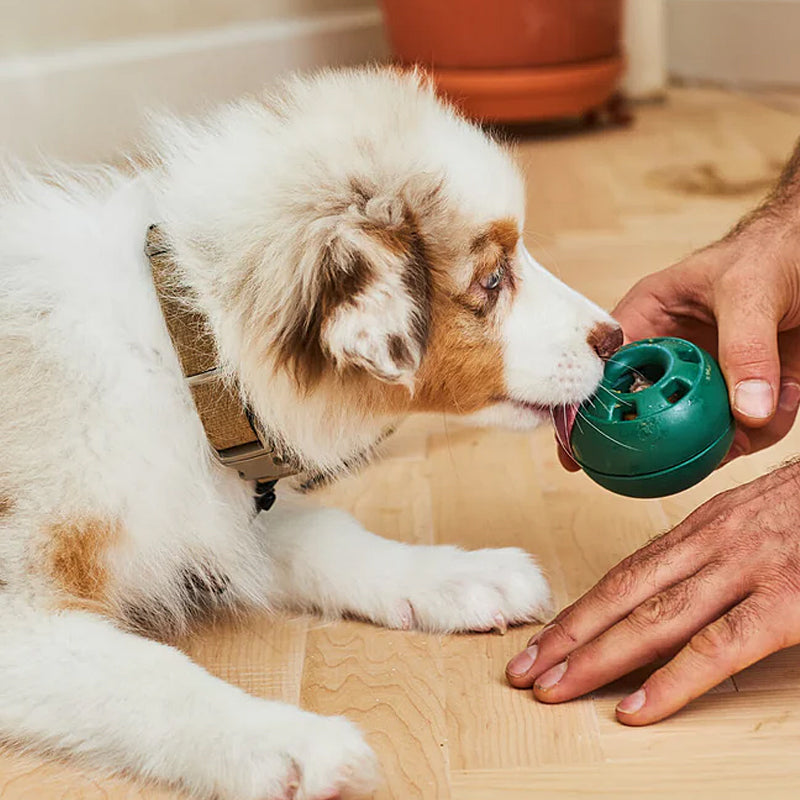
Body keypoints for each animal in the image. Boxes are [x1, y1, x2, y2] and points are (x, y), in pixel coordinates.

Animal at [0, 69, 620, 800]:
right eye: (493, 279)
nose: (615, 336)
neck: (184, 354)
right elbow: (145, 674)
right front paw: (286, 743)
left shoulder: (218, 505)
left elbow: (323, 532)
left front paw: (462, 576)